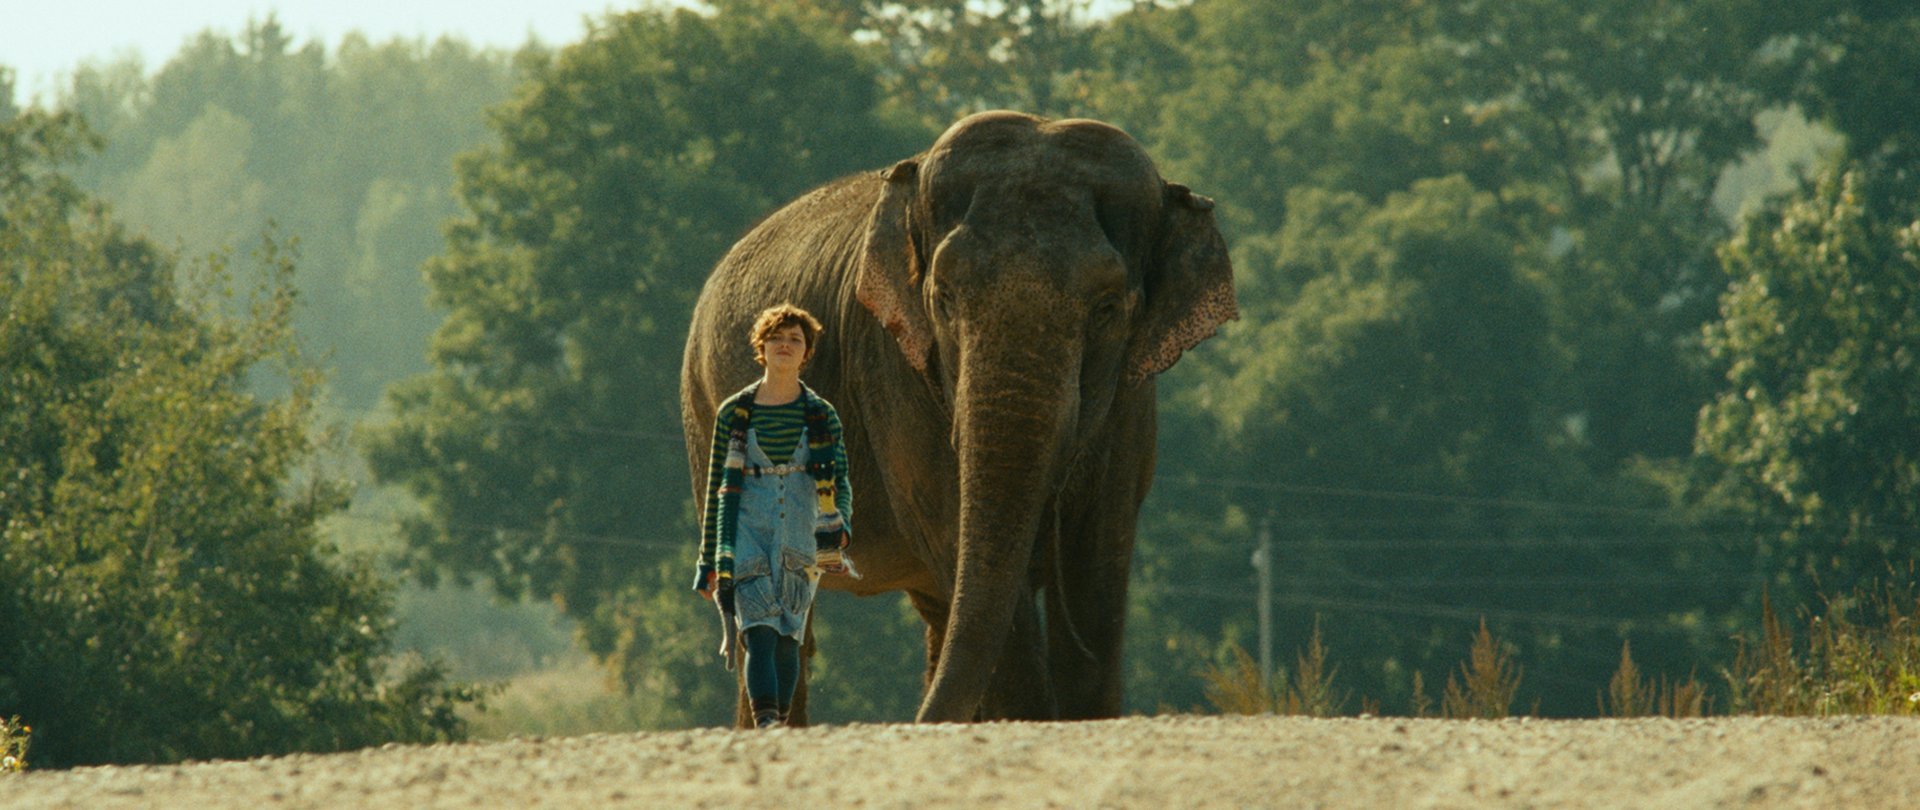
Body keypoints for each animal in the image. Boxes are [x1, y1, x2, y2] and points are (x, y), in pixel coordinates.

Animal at [683, 110, 1236, 725]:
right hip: (703, 412)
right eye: (944, 298)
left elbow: (1098, 560)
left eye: (1108, 308)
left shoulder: (1132, 401)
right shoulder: (893, 371)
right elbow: (956, 533)